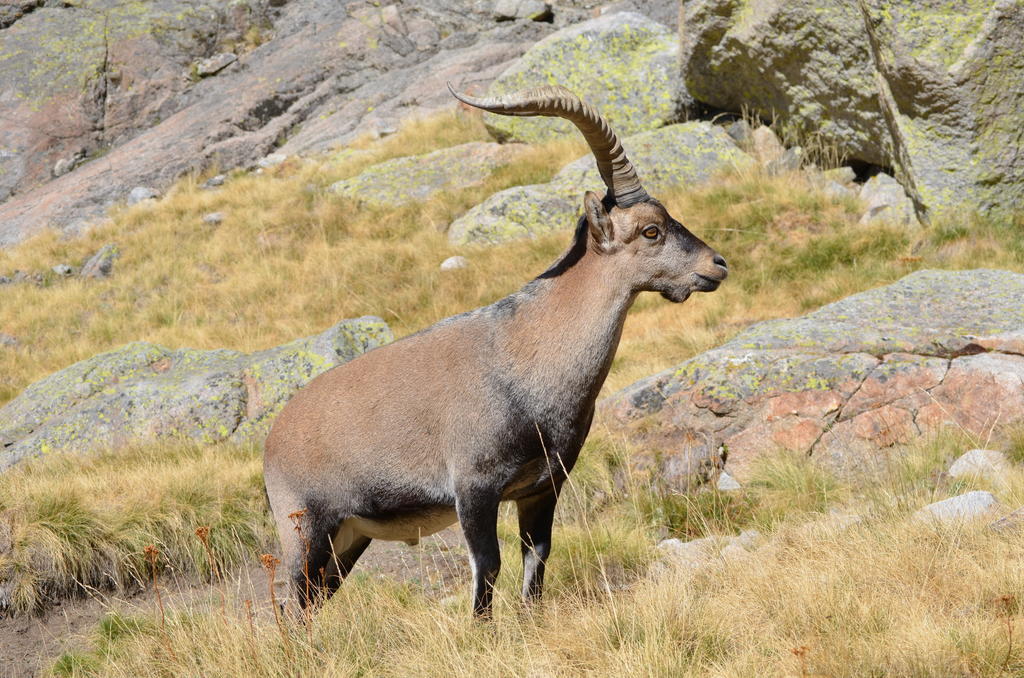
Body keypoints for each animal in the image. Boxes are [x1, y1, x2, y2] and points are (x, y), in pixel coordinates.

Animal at [264, 83, 729, 614]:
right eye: (651, 230)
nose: (717, 264)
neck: (526, 358)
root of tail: (272, 437)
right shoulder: (474, 488)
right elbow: (487, 569)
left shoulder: (542, 488)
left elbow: (536, 560)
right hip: (304, 528)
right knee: (292, 602)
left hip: (348, 538)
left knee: (313, 601)